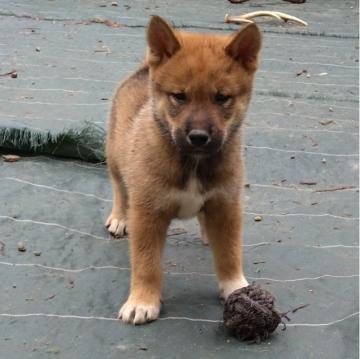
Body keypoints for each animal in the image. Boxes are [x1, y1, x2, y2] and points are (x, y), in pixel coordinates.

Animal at [105, 15, 262, 326]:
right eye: (179, 96)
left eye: (222, 98)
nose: (199, 137)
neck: (193, 162)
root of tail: (142, 71)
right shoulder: (147, 214)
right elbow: (146, 263)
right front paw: (142, 301)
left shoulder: (226, 205)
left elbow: (229, 253)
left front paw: (236, 287)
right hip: (115, 158)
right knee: (119, 189)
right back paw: (118, 218)